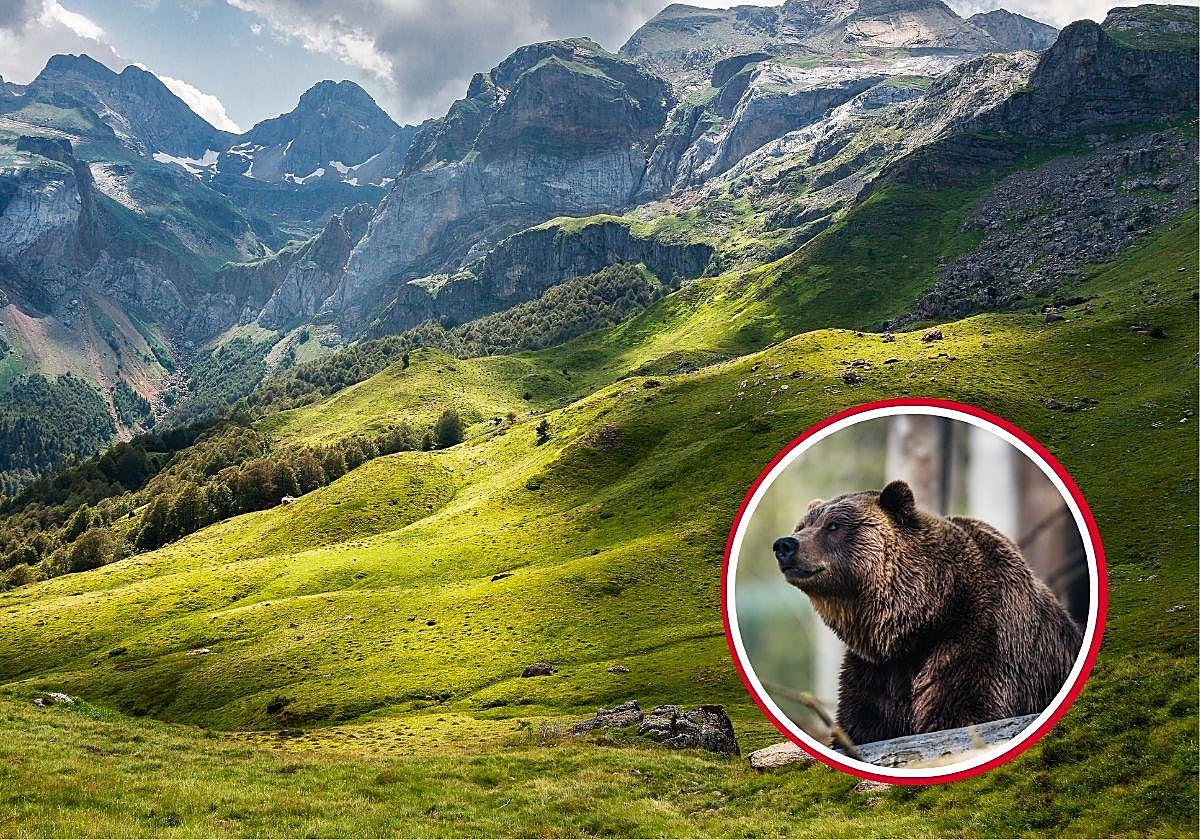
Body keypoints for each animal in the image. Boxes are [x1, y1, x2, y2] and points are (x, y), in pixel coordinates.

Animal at [772, 479, 1083, 746]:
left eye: (833, 525)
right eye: (802, 525)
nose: (785, 544)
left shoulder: (981, 640)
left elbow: (962, 710)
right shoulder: (876, 672)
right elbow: (862, 724)